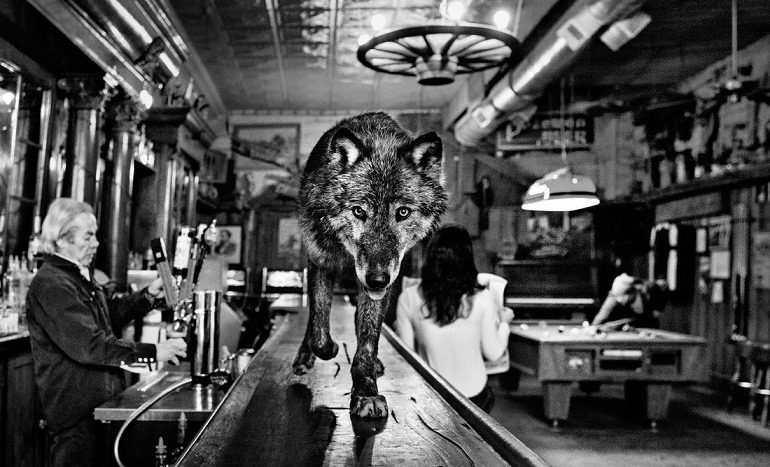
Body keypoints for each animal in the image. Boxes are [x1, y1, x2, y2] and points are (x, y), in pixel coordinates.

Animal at [292, 111, 448, 418]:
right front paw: (328, 349)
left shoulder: (384, 280)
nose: (377, 279)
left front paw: (366, 390)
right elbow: (319, 328)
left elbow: (368, 339)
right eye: (358, 211)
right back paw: (305, 356)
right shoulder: (321, 262)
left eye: (403, 212)